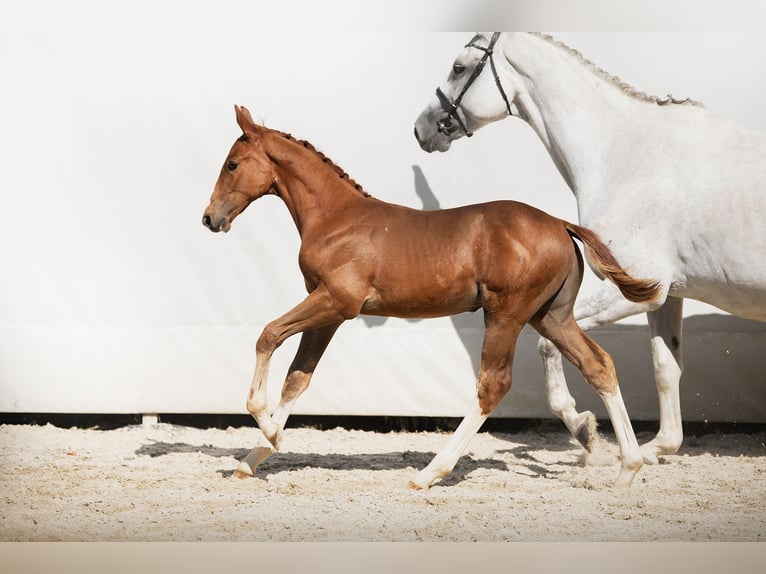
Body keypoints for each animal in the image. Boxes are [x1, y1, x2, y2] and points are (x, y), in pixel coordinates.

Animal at [202, 107, 660, 490]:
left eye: (232, 164)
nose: (209, 218)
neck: (335, 218)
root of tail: (560, 223)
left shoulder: (337, 301)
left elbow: (267, 335)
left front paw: (268, 428)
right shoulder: (328, 311)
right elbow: (298, 377)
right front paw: (253, 457)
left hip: (507, 315)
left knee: (493, 385)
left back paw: (429, 473)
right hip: (551, 316)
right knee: (598, 366)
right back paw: (628, 470)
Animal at [416, 31, 764, 466]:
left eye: (459, 67)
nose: (421, 128)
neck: (626, 154)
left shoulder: (635, 292)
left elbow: (549, 346)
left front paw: (583, 429)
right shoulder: (667, 296)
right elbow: (665, 368)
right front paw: (655, 447)